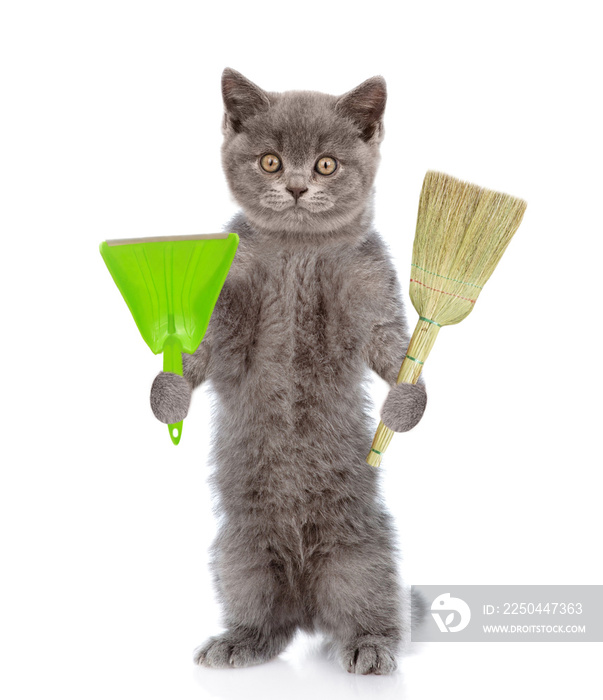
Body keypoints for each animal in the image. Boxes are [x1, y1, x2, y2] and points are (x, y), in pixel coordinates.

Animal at [149, 68, 428, 676]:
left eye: (326, 164)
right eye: (270, 161)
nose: (297, 187)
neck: (299, 250)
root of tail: (307, 602)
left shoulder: (369, 285)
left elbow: (392, 344)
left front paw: (405, 402)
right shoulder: (232, 296)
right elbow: (204, 347)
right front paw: (169, 391)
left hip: (362, 556)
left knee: (371, 605)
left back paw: (370, 646)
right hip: (239, 553)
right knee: (267, 620)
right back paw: (238, 642)